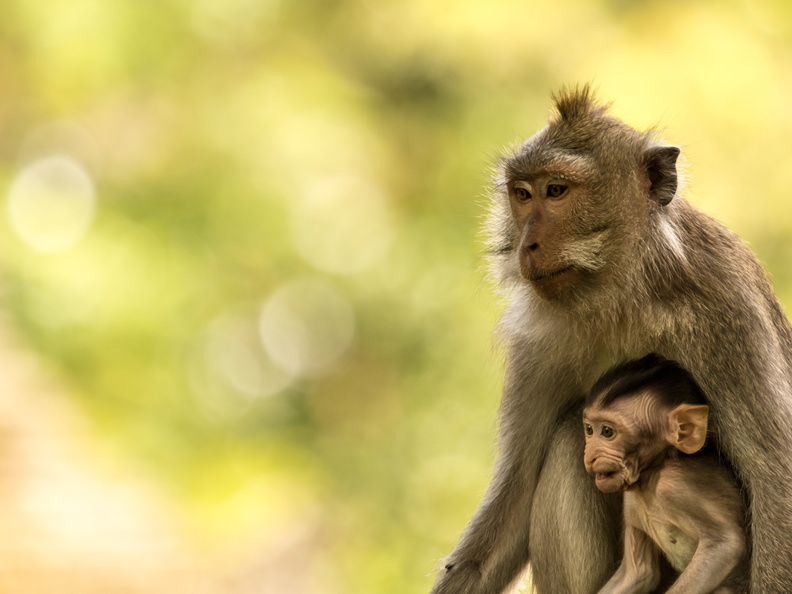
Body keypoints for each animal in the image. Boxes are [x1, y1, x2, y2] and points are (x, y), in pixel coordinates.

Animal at [583, 354, 748, 594]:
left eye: (607, 431)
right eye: (589, 430)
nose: (590, 457)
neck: (651, 475)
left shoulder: (674, 486)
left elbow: (727, 544)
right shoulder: (631, 500)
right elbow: (638, 574)